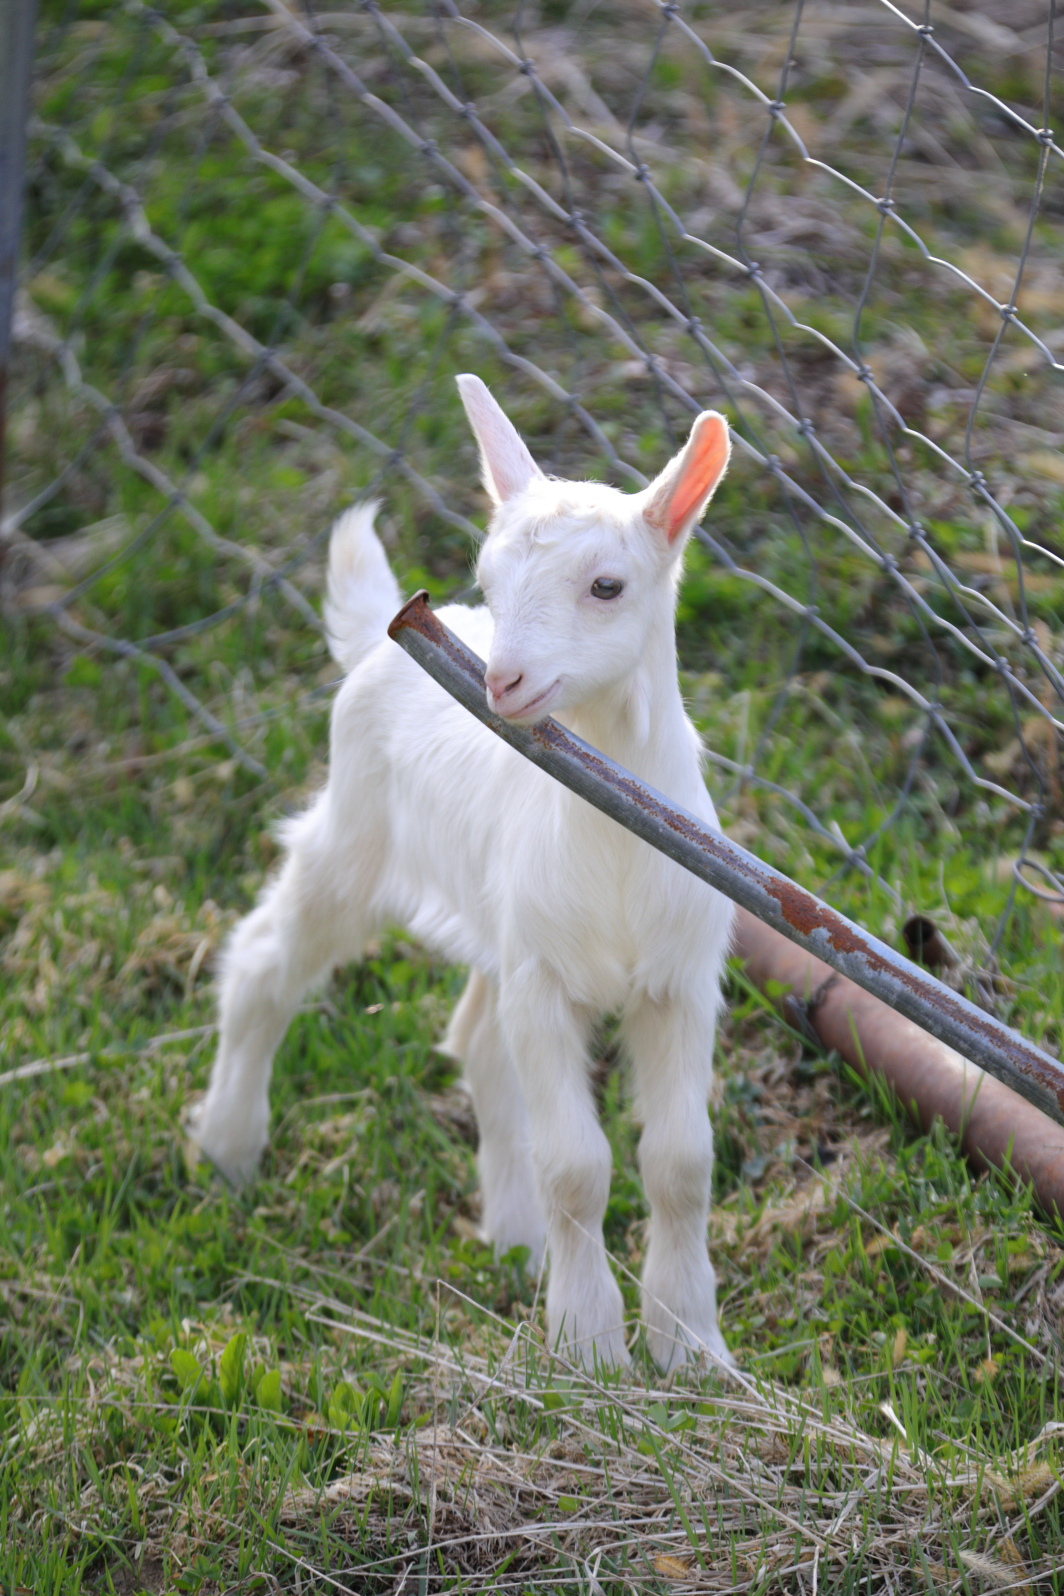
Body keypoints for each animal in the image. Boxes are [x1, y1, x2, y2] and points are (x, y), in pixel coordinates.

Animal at [189, 376, 735, 1372]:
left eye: (607, 585)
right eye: (488, 579)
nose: (504, 681)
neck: (616, 838)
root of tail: (382, 639)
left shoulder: (675, 980)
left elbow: (680, 1164)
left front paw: (691, 1350)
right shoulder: (547, 980)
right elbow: (578, 1167)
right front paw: (590, 1352)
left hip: (498, 921)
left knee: (480, 1038)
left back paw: (515, 1241)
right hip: (357, 841)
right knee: (263, 963)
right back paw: (227, 1150)